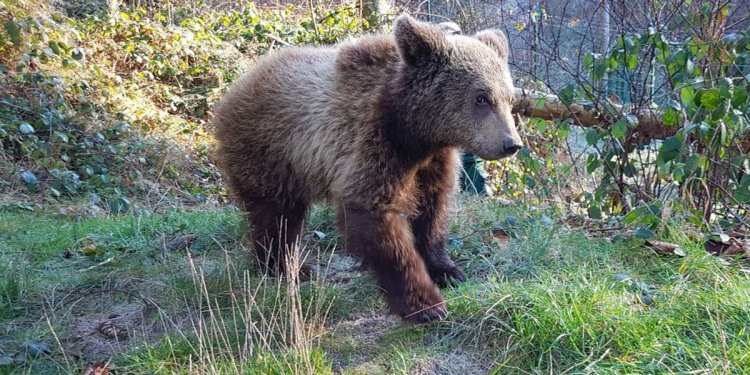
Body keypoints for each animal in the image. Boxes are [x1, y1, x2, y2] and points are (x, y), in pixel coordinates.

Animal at [212, 14, 524, 324]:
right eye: (481, 97)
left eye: (509, 98)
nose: (511, 143)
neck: (415, 132)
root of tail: (238, 84)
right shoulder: (372, 141)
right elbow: (374, 215)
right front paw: (425, 303)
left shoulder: (432, 162)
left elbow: (432, 210)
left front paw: (447, 270)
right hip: (269, 151)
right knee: (275, 216)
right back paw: (287, 267)